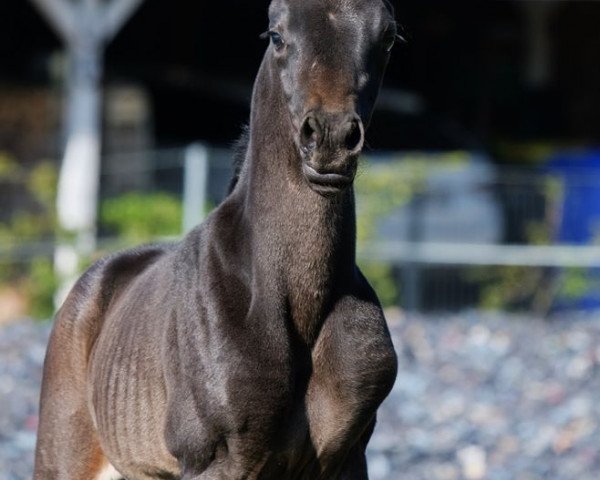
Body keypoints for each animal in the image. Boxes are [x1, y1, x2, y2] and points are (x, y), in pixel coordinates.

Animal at [32, 1, 398, 478]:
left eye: (388, 36)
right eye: (276, 35)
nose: (331, 139)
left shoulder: (347, 458)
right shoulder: (217, 460)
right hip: (63, 455)